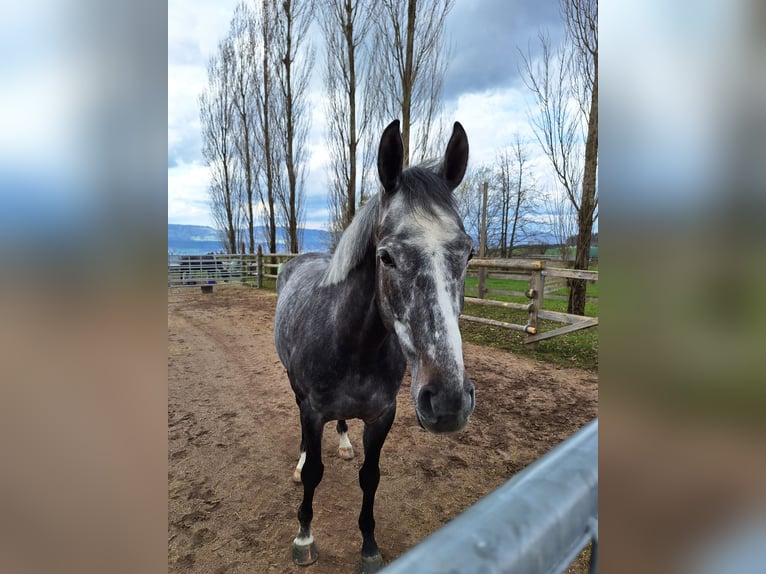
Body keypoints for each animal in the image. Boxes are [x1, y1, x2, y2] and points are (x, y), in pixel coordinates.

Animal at [272, 119, 476, 572]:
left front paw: (368, 545)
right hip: (295, 388)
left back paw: (345, 443)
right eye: (386, 257)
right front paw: (304, 536)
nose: (449, 401)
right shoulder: (313, 412)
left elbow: (371, 476)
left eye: (468, 253)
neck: (351, 346)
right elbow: (313, 473)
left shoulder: (382, 415)